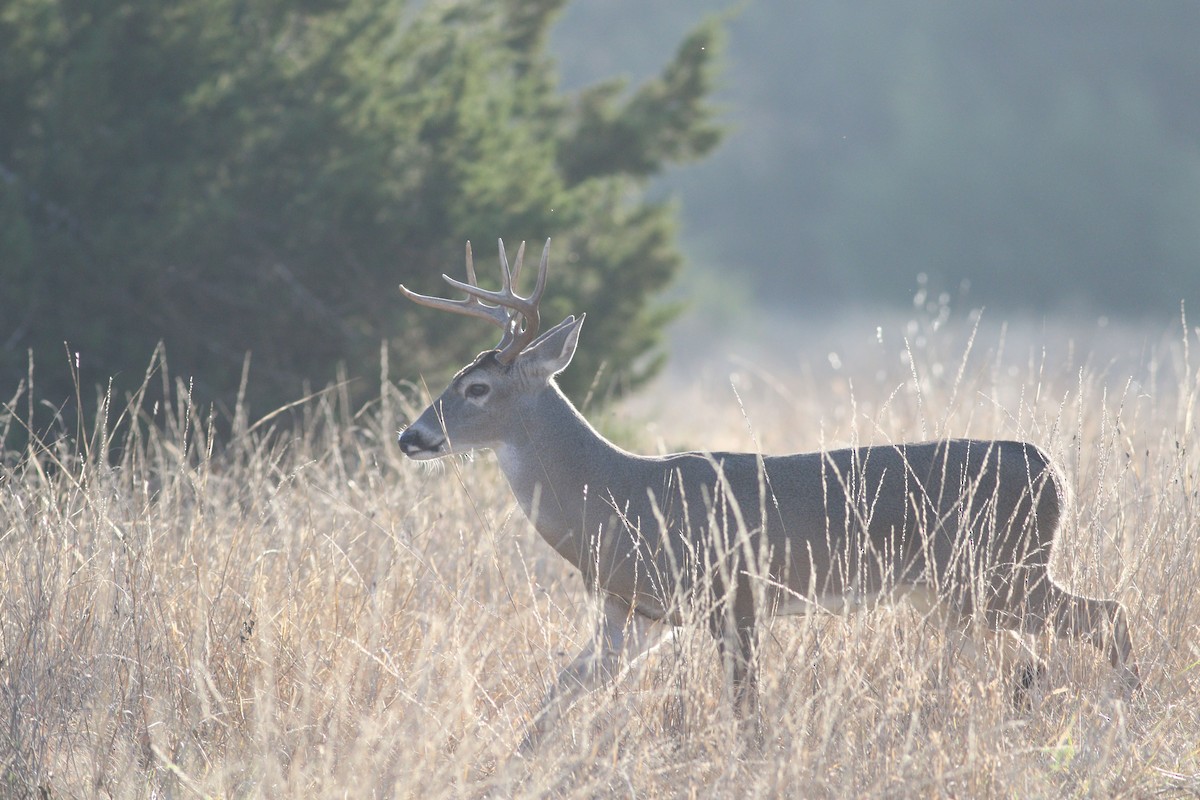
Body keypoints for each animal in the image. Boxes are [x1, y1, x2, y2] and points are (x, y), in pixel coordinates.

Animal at [397, 239, 1139, 750]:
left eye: (476, 388)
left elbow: (746, 716)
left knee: (1108, 615)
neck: (618, 498)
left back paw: (1129, 712)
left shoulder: (735, 594)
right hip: (962, 591)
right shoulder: (633, 615)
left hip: (1001, 571)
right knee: (1034, 659)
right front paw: (509, 763)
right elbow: (553, 700)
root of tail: (1051, 469)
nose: (412, 435)